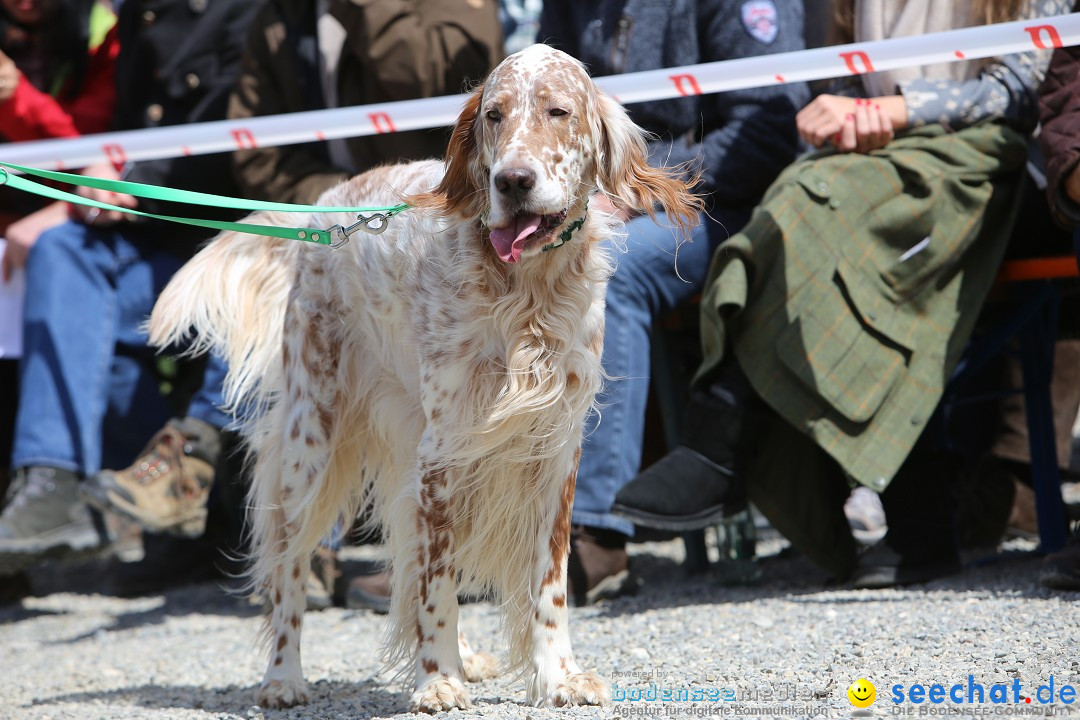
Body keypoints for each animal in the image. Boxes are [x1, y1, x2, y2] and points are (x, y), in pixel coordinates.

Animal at [150, 46, 699, 716]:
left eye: (558, 111)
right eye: (494, 115)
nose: (512, 181)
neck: (525, 296)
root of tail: (327, 204)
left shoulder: (553, 451)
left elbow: (548, 584)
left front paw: (558, 676)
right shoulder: (445, 453)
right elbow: (438, 583)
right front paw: (436, 679)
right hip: (313, 445)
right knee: (290, 570)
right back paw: (284, 677)